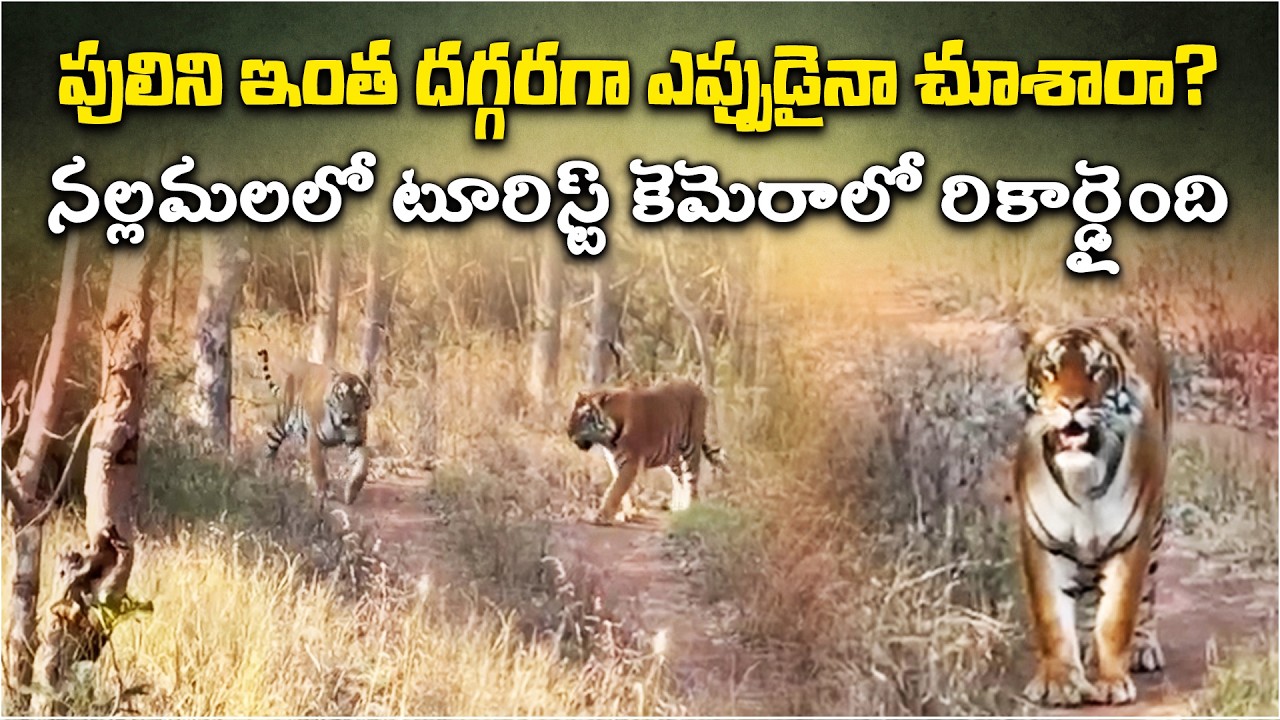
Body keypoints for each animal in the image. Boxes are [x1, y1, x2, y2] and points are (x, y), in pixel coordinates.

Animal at [257, 349, 372, 506]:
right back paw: (264, 473)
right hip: (282, 423)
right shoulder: (315, 439)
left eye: (358, 396)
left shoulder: (357, 442)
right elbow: (319, 467)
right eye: (341, 395)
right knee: (270, 448)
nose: (347, 417)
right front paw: (324, 492)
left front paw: (351, 493)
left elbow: (363, 466)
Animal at [567, 379, 725, 525]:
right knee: (679, 479)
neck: (608, 440)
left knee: (691, 478)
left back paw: (689, 509)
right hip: (672, 457)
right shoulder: (616, 463)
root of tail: (696, 386)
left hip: (690, 447)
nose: (568, 432)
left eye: (584, 416)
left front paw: (602, 517)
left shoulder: (630, 463)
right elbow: (625, 492)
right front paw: (627, 514)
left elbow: (615, 490)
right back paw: (677, 507)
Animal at [1013, 320, 1170, 707]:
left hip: (1156, 521)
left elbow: (1116, 616)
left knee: (1148, 592)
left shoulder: (1131, 541)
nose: (1071, 404)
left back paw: (1142, 648)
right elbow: (1052, 617)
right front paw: (1058, 682)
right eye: (1050, 369)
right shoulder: (1042, 542)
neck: (1082, 480)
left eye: (1096, 370)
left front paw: (1111, 682)